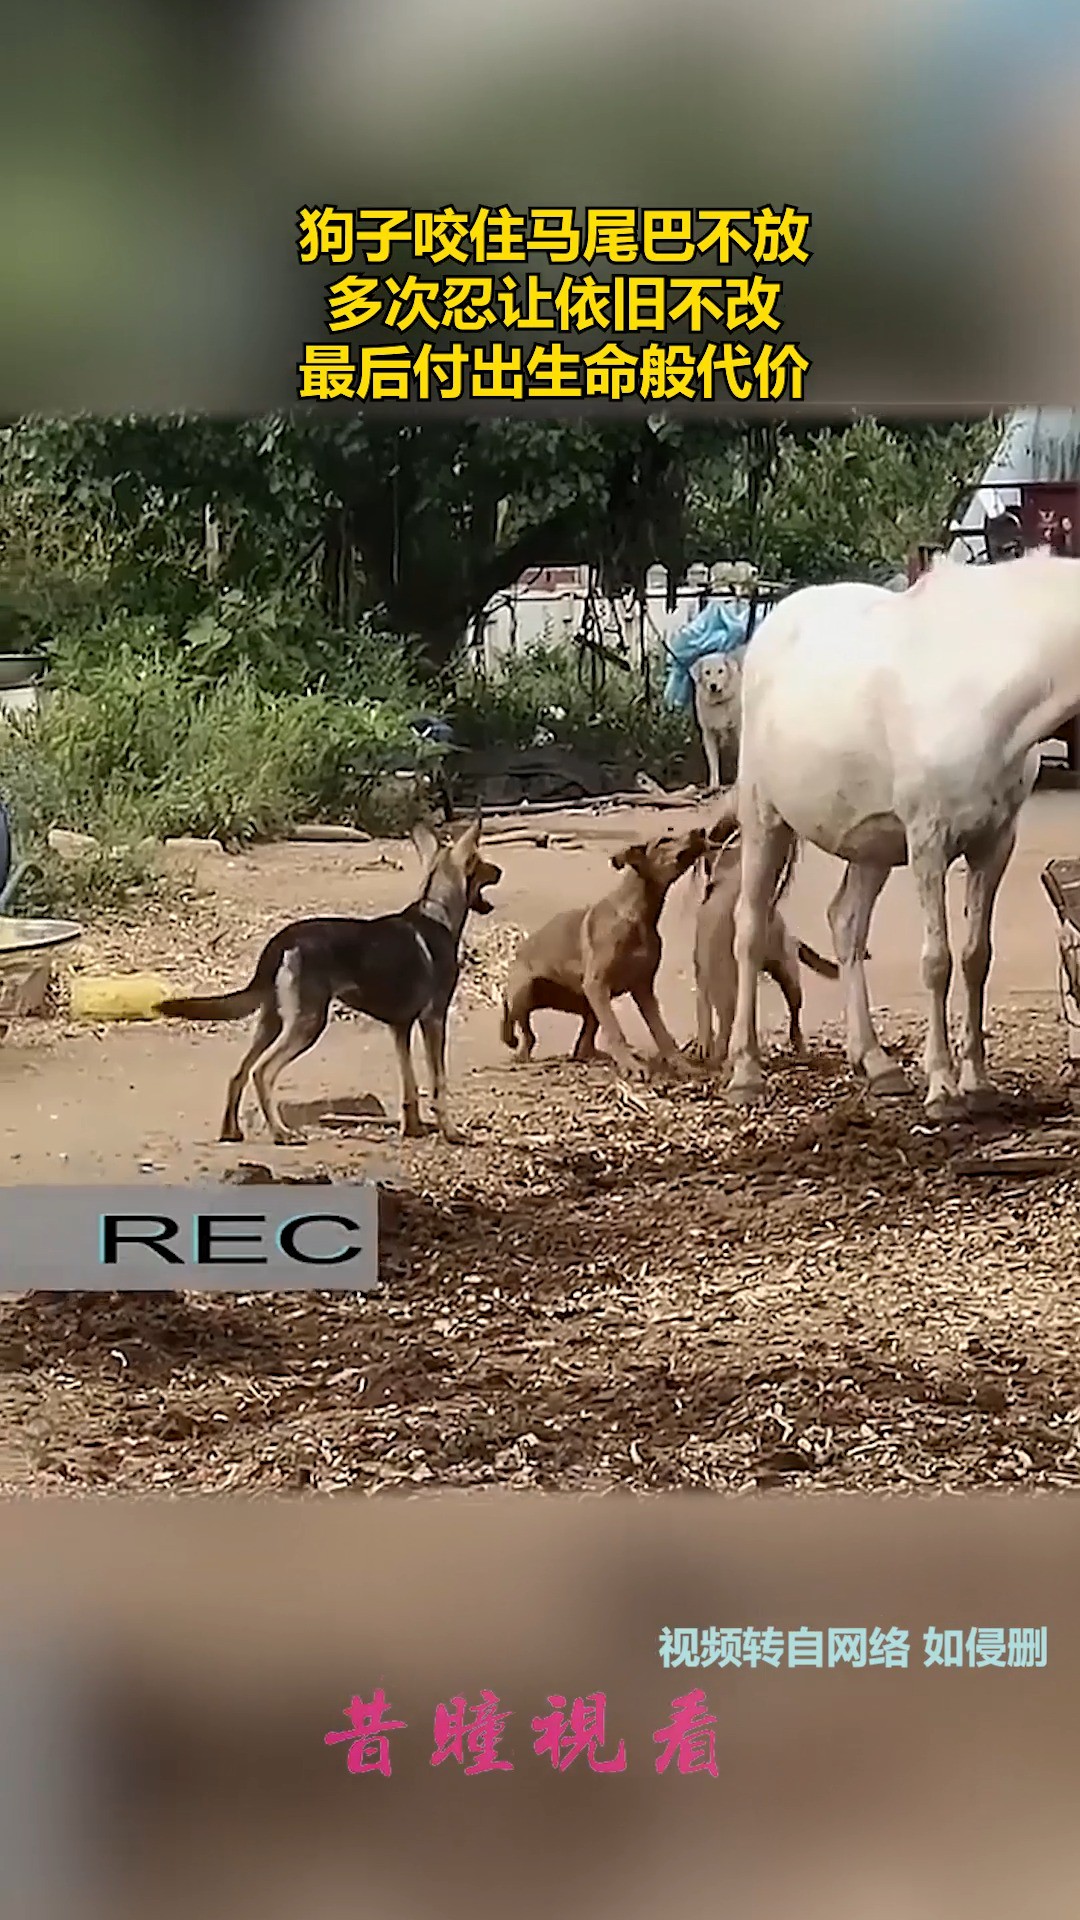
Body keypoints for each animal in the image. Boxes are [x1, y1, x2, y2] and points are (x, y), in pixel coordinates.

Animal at [155, 814, 499, 1136]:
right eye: (480, 861)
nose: (499, 871)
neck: (436, 911)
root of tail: (284, 939)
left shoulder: (400, 1027)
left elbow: (410, 1086)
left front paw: (413, 1128)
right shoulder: (434, 1019)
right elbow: (439, 1084)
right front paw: (451, 1132)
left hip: (272, 1022)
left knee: (239, 1073)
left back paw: (232, 1131)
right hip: (308, 1023)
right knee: (262, 1072)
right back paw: (281, 1133)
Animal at [499, 821, 718, 1082]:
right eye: (664, 840)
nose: (701, 830)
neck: (639, 914)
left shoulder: (643, 988)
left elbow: (662, 1034)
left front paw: (682, 1065)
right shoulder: (597, 984)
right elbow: (615, 1031)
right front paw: (631, 1066)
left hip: (586, 1002)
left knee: (579, 1045)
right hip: (525, 991)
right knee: (520, 1029)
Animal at [684, 829, 837, 1067]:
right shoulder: (706, 978)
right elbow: (706, 1012)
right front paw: (707, 1045)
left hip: (789, 979)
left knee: (794, 1017)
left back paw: (799, 1048)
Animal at [687, 648, 737, 791]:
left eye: (721, 671)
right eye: (707, 672)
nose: (713, 686)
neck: (718, 703)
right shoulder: (708, 734)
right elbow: (713, 762)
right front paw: (714, 785)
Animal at [722, 549, 1076, 1121]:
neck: (983, 681)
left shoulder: (994, 844)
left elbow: (976, 956)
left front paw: (977, 1081)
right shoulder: (928, 842)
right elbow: (937, 961)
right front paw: (943, 1089)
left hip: (873, 846)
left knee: (846, 923)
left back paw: (875, 1062)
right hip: (764, 819)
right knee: (750, 929)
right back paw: (745, 1073)